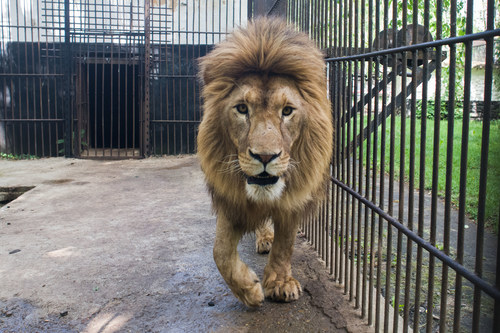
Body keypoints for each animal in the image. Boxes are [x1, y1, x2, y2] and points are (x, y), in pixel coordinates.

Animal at [197, 16, 334, 306]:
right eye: (241, 108)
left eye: (287, 111)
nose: (265, 156)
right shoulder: (231, 199)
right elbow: (220, 251)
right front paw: (249, 290)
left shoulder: (294, 199)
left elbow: (285, 244)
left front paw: (280, 283)